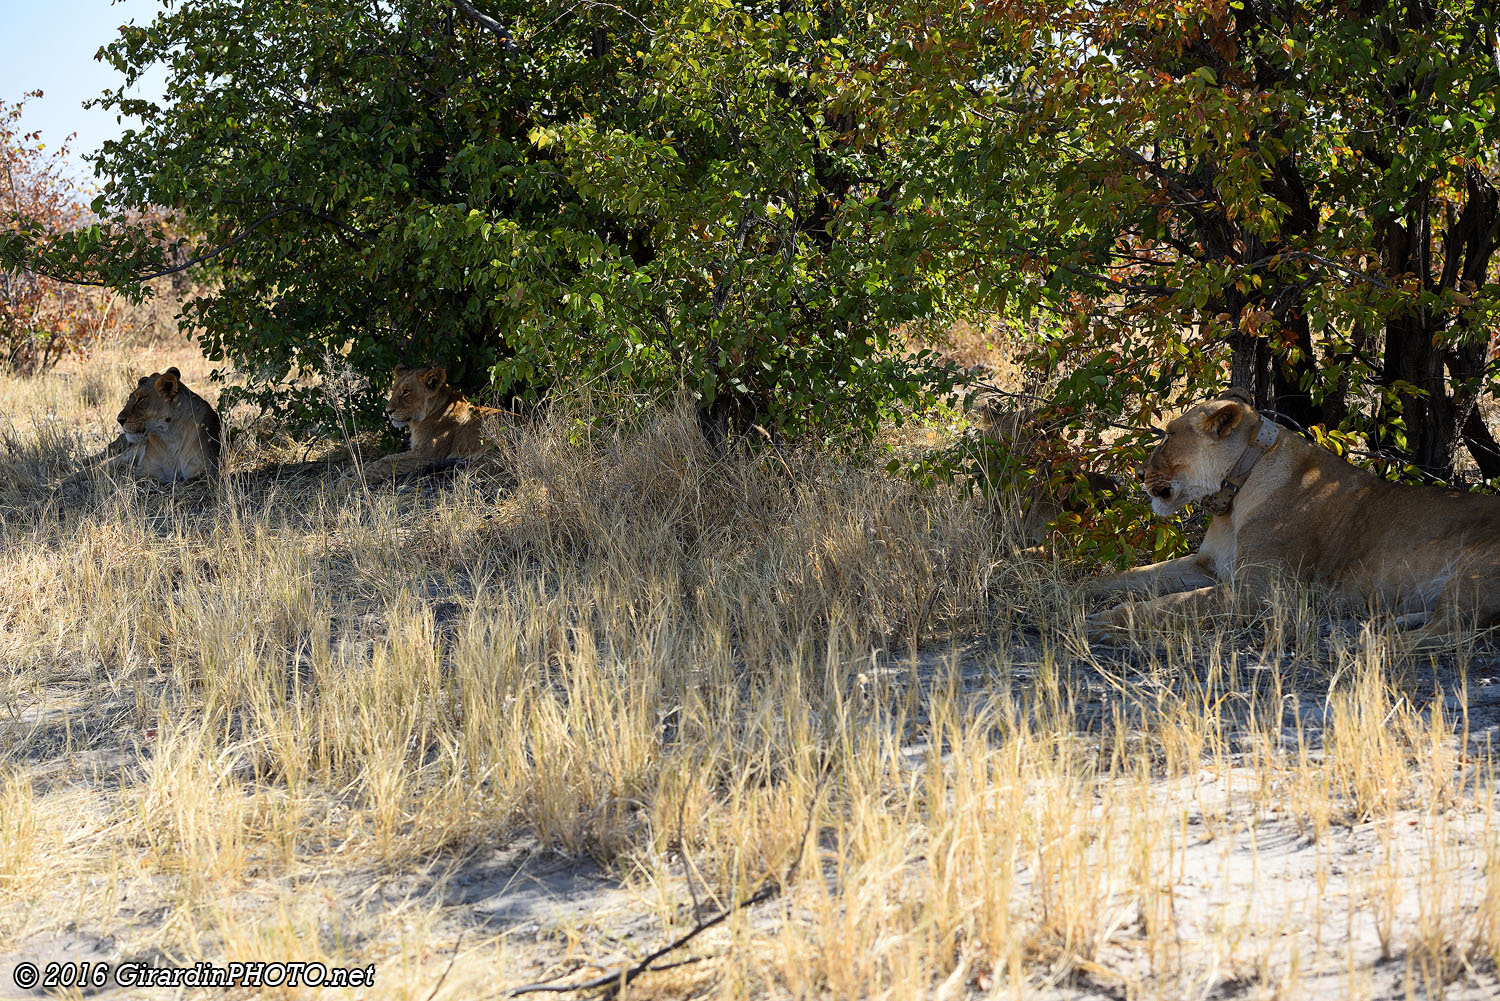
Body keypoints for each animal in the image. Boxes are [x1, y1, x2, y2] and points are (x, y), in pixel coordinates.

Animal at [360, 365, 507, 480]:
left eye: (406, 392)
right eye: (393, 390)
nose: (388, 411)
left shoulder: (427, 455)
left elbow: (383, 463)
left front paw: (356, 478)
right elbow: (385, 459)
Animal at [1085, 388, 1500, 648]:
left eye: (1169, 435)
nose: (1139, 474)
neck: (1233, 498)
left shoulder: (1259, 592)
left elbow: (1171, 604)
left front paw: (1103, 624)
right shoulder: (1207, 566)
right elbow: (1130, 577)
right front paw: (1077, 592)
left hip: (1474, 571)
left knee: (1452, 632)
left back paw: (1363, 644)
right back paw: (1386, 623)